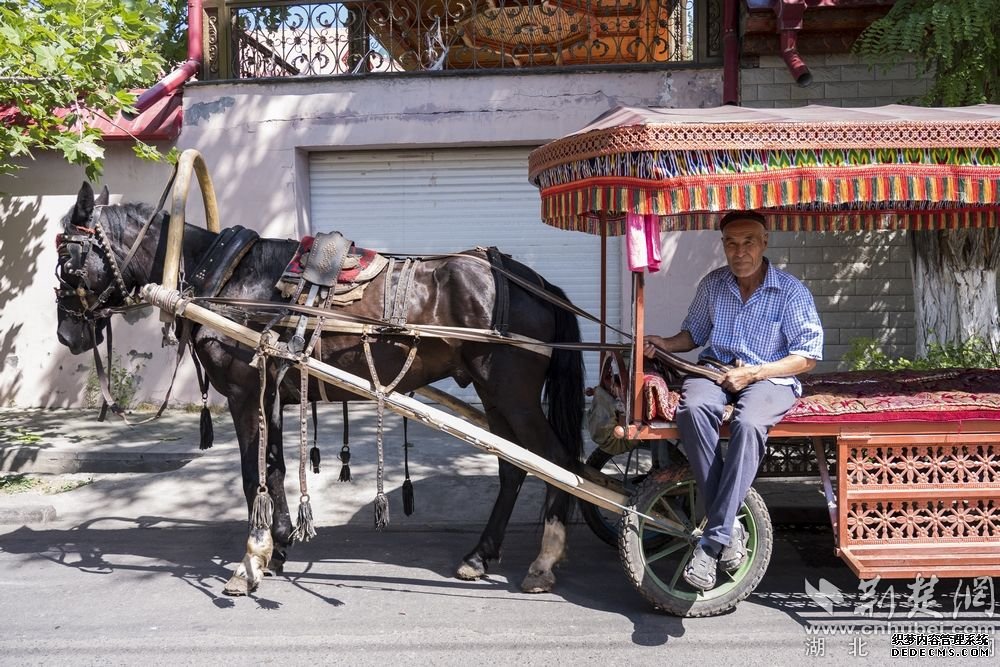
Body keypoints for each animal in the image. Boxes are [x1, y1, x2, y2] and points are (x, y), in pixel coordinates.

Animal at [52, 181, 584, 596]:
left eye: (65, 259)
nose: (66, 334)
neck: (229, 278)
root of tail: (538, 284)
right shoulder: (269, 392)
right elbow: (274, 469)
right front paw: (279, 545)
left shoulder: (245, 393)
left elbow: (251, 474)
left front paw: (251, 560)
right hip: (494, 394)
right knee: (515, 467)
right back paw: (480, 555)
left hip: (512, 392)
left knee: (558, 462)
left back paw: (544, 561)